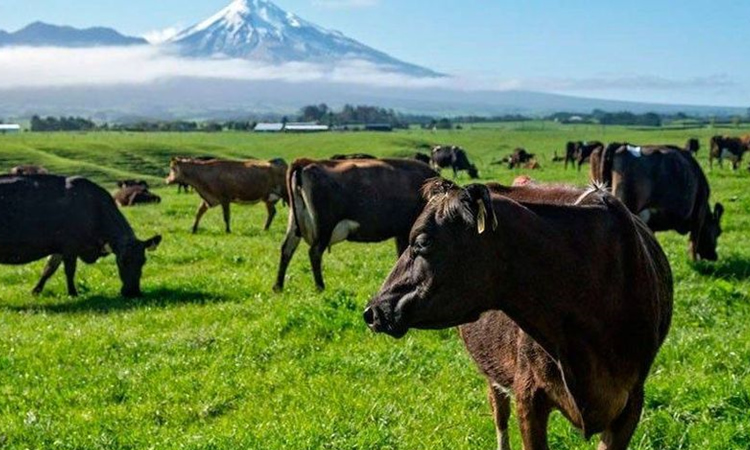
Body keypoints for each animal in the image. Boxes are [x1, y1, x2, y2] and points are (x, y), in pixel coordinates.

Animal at [0, 174, 164, 298]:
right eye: (122, 261)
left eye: (143, 261)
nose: (133, 292)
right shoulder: (70, 247)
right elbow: (69, 271)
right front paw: (73, 293)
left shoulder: (59, 248)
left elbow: (49, 269)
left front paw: (36, 291)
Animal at [274, 158, 440, 292]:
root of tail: (307, 162)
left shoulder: (401, 232)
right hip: (325, 227)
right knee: (314, 252)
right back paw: (320, 287)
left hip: (295, 223)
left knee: (287, 249)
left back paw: (278, 286)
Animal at [596, 142, 724, 262]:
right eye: (718, 232)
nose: (714, 256)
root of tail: (621, 146)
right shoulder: (699, 216)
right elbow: (693, 242)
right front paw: (695, 261)